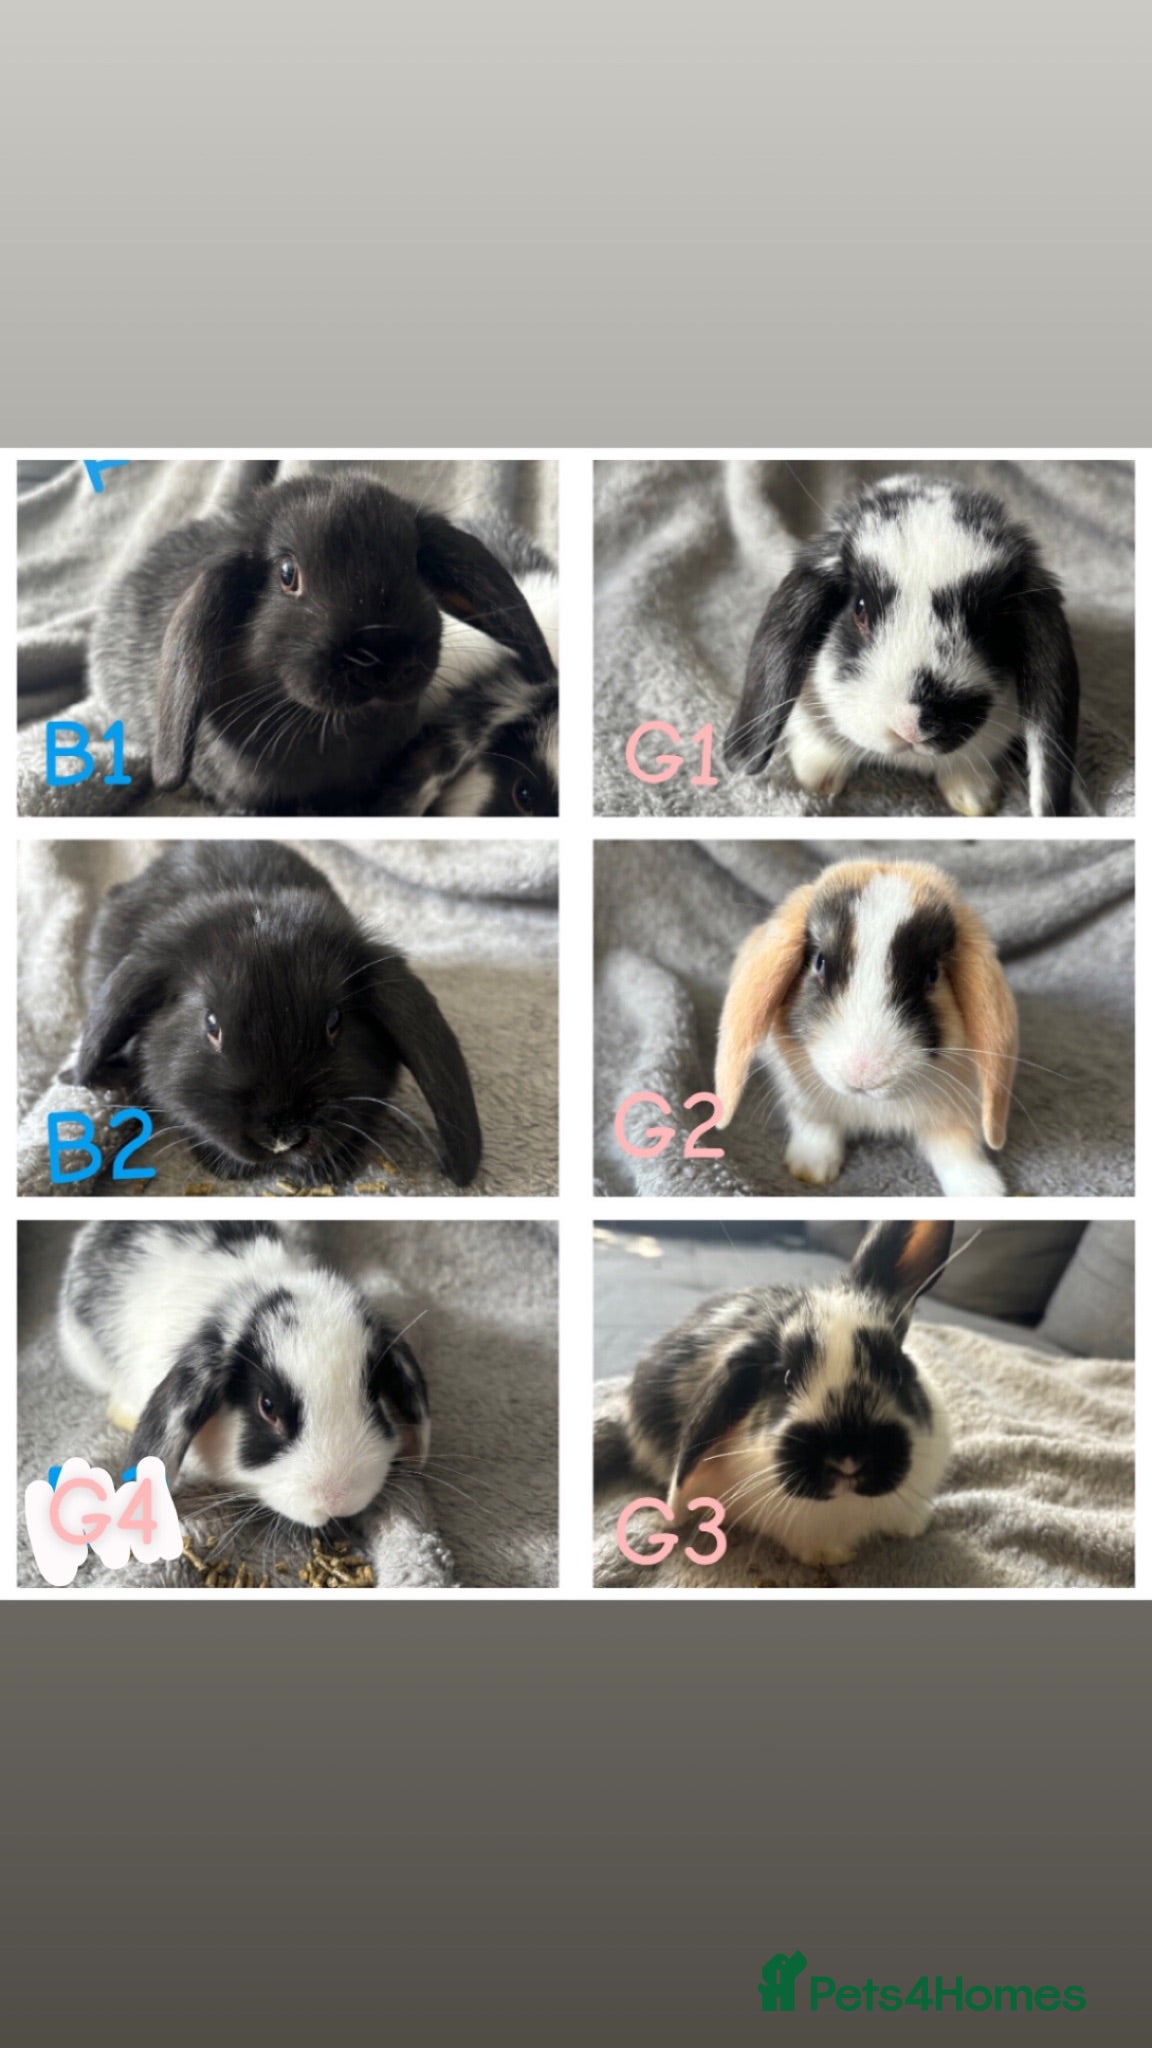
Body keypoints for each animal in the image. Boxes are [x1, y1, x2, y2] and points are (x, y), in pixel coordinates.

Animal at [714, 858, 1018, 1196]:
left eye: (932, 974)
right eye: (819, 962)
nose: (863, 1074)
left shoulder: (957, 1109)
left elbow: (957, 1148)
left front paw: (983, 1190)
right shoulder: (803, 1098)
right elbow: (816, 1126)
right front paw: (811, 1168)